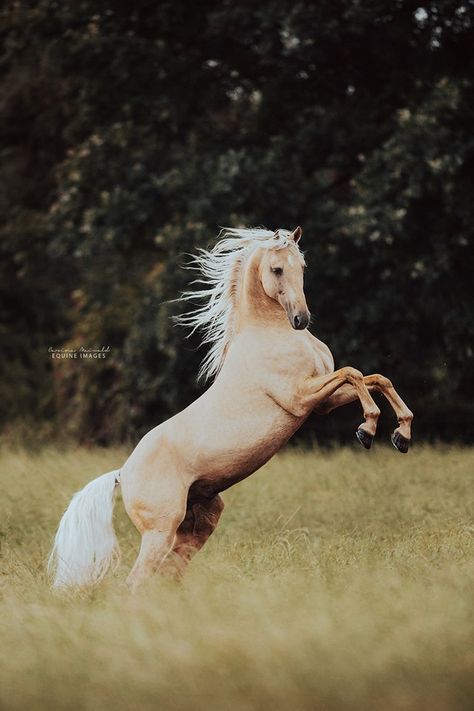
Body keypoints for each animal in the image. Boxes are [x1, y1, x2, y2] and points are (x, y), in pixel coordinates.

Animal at [48, 227, 412, 588]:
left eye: (302, 267)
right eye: (277, 269)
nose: (301, 318)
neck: (270, 333)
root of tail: (121, 474)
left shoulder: (322, 402)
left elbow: (375, 379)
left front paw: (401, 435)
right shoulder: (300, 398)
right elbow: (354, 373)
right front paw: (368, 429)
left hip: (200, 521)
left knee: (170, 570)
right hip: (160, 531)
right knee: (136, 582)